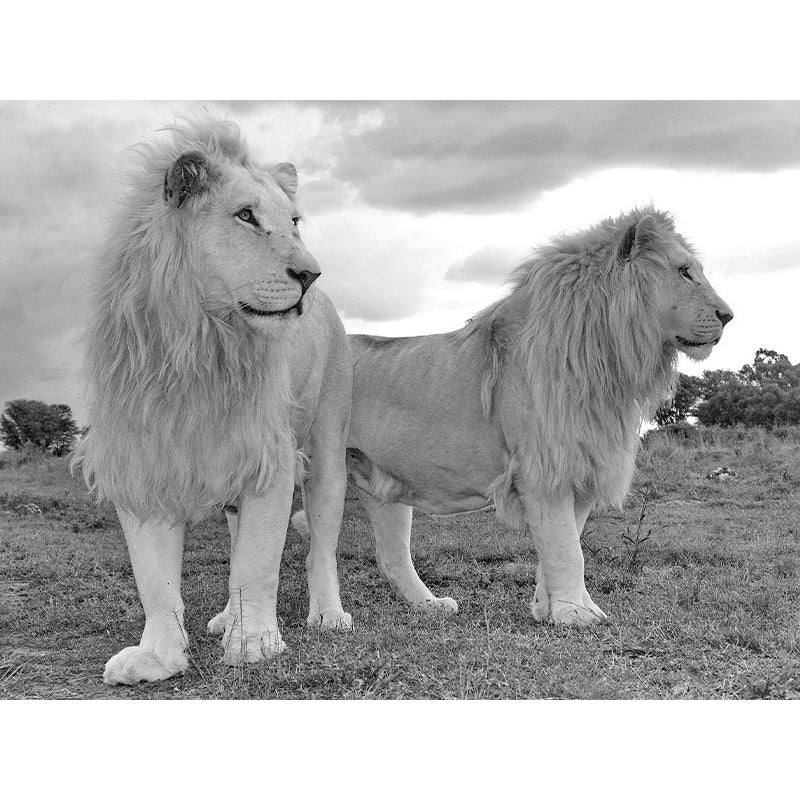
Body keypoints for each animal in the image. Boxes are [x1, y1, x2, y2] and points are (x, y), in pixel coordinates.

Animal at [72, 118, 353, 685]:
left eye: (294, 223)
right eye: (245, 216)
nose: (311, 275)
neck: (198, 343)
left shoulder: (269, 456)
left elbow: (259, 563)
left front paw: (256, 644)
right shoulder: (143, 459)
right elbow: (155, 581)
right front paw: (158, 657)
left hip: (328, 448)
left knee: (321, 546)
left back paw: (327, 615)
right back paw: (226, 617)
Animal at [336, 207, 733, 626]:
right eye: (684, 271)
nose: (729, 315)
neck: (605, 361)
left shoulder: (581, 466)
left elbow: (561, 544)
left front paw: (551, 608)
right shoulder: (542, 468)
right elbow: (567, 549)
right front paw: (578, 613)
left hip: (380, 483)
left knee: (390, 556)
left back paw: (431, 605)